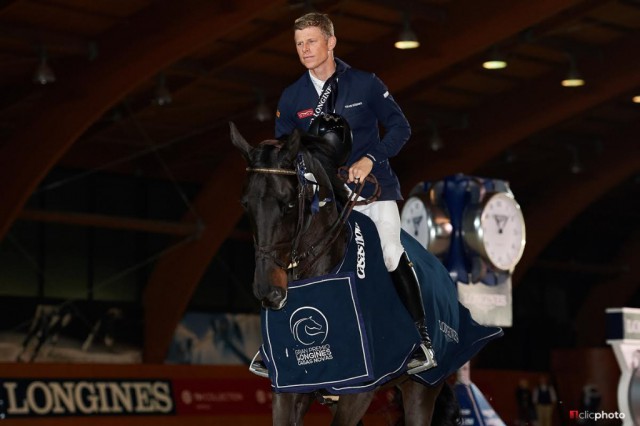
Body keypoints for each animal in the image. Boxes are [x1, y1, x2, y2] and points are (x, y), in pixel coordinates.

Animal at [230, 121, 464, 424]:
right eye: (245, 204)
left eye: (289, 204)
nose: (268, 291)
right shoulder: (293, 386)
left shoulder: (359, 391)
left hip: (423, 389)